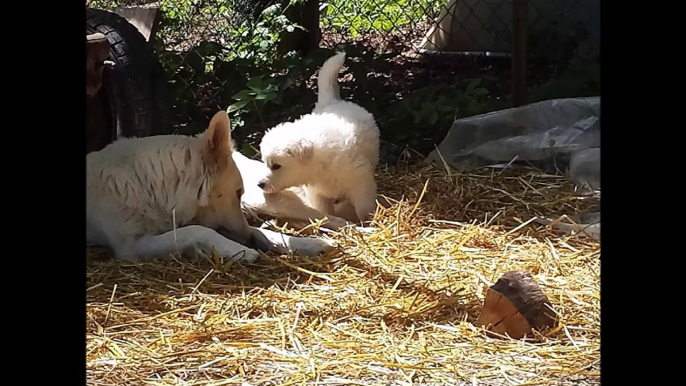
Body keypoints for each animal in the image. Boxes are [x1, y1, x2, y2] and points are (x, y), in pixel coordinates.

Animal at [86, 110, 338, 264]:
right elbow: (195, 231)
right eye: (236, 192)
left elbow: (262, 232)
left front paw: (304, 243)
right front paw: (238, 250)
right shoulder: (131, 246)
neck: (146, 184)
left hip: (264, 200)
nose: (246, 239)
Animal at [256, 52, 382, 225]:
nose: (259, 184)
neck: (319, 164)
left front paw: (369, 223)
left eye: (276, 166)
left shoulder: (360, 183)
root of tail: (332, 101)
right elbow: (325, 212)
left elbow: (363, 209)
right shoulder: (317, 194)